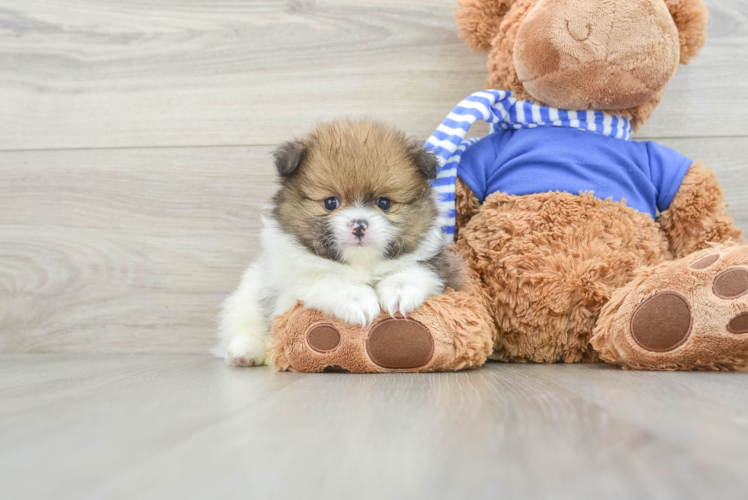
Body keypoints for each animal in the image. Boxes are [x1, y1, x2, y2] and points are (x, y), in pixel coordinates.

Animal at [215, 118, 462, 366]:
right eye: (331, 202)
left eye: (383, 203)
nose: (359, 225)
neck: (361, 264)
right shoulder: (289, 289)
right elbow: (326, 278)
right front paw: (358, 300)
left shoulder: (446, 268)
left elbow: (420, 269)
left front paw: (399, 291)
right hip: (248, 295)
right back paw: (245, 351)